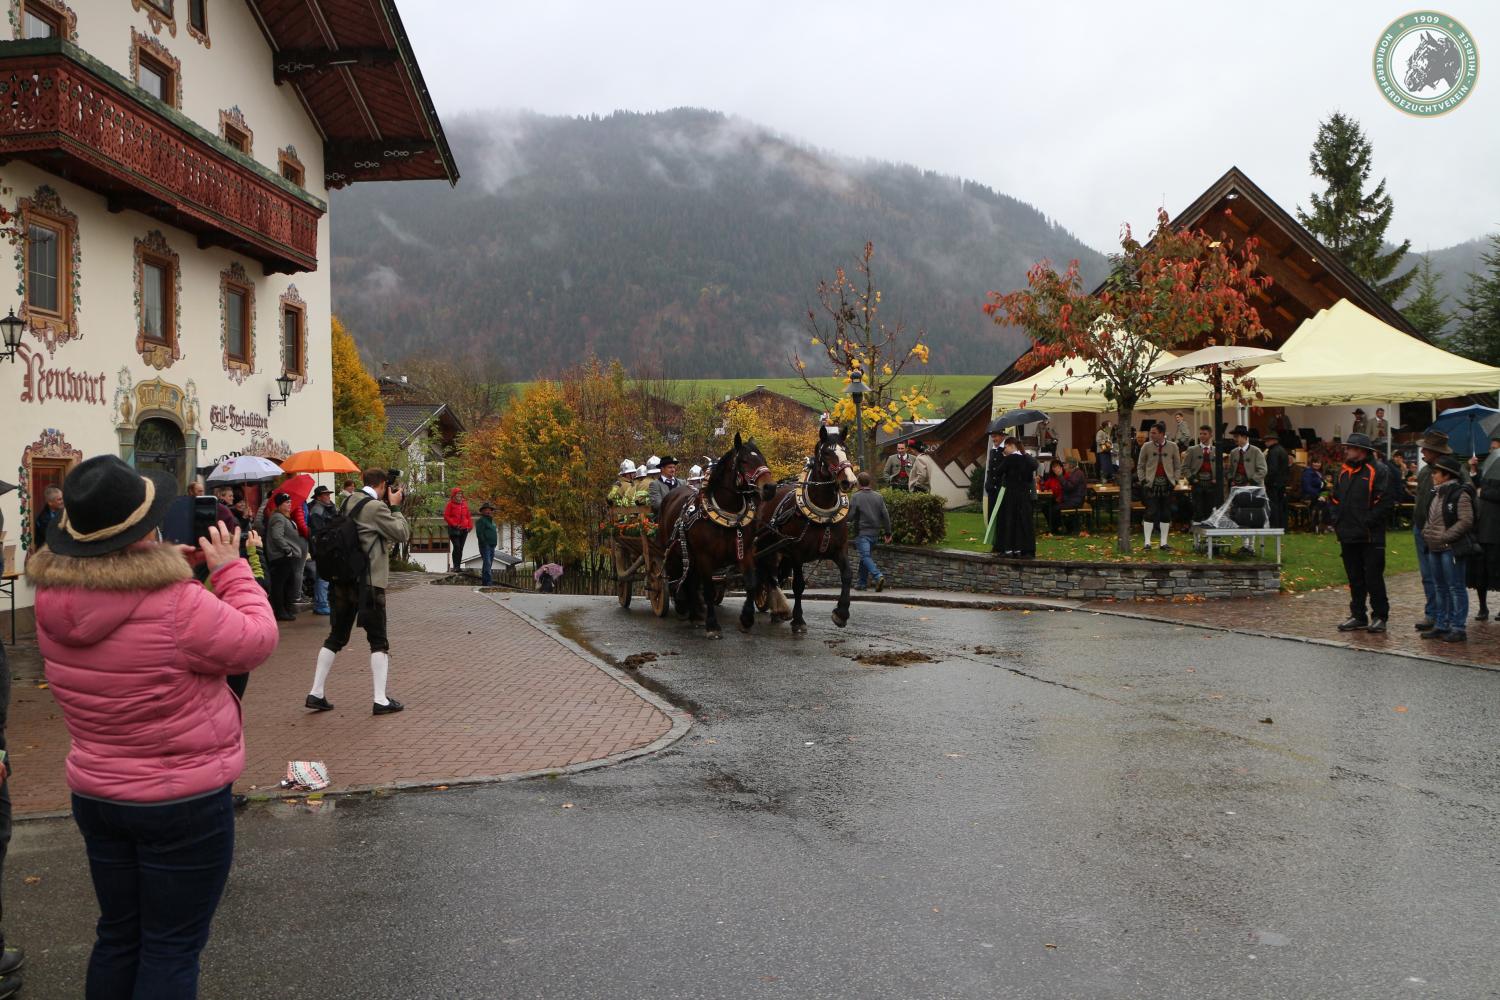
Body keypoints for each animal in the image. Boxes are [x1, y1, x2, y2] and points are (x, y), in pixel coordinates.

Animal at [656, 433, 777, 639]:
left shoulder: (744, 552)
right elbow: (708, 589)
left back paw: (695, 614)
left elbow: (751, 583)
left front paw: (746, 620)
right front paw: (712, 625)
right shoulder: (705, 557)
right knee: (675, 578)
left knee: (690, 581)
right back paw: (682, 607)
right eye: (744, 461)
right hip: (673, 552)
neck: (727, 515)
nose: (769, 488)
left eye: (763, 459)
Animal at [754, 425, 859, 633]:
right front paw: (798, 619)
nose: (849, 481)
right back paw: (779, 607)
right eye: (826, 453)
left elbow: (847, 574)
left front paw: (841, 613)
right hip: (767, 547)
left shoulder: (839, 549)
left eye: (846, 450)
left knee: (774, 574)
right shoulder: (797, 553)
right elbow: (798, 585)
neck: (824, 514)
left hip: (779, 551)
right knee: (768, 573)